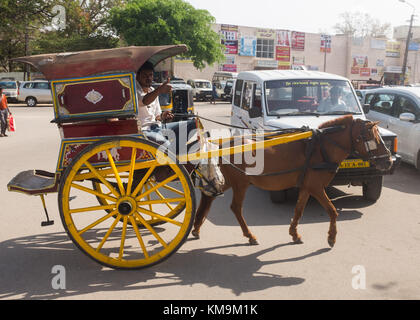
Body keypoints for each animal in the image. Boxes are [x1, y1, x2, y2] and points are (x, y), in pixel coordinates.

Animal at [191, 115, 394, 248]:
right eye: (371, 137)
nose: (388, 161)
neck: (320, 149)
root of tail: (222, 145)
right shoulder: (316, 187)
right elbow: (332, 211)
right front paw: (331, 237)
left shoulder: (306, 187)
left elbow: (298, 210)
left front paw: (294, 234)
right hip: (240, 183)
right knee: (235, 208)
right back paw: (249, 235)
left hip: (227, 180)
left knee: (208, 197)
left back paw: (197, 227)